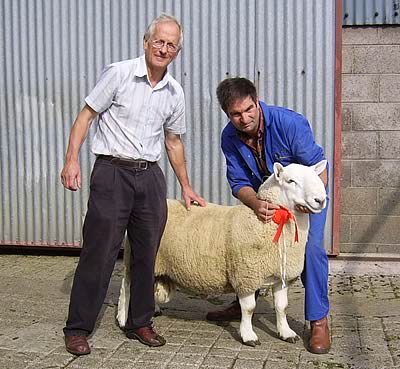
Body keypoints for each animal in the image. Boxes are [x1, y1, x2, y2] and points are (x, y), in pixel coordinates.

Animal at [115, 160, 324, 346]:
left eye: (316, 177)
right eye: (290, 181)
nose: (320, 200)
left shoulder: (281, 276)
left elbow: (281, 307)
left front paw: (286, 332)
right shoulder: (246, 275)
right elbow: (249, 308)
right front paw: (248, 336)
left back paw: (153, 310)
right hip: (135, 256)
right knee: (127, 287)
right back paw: (124, 319)